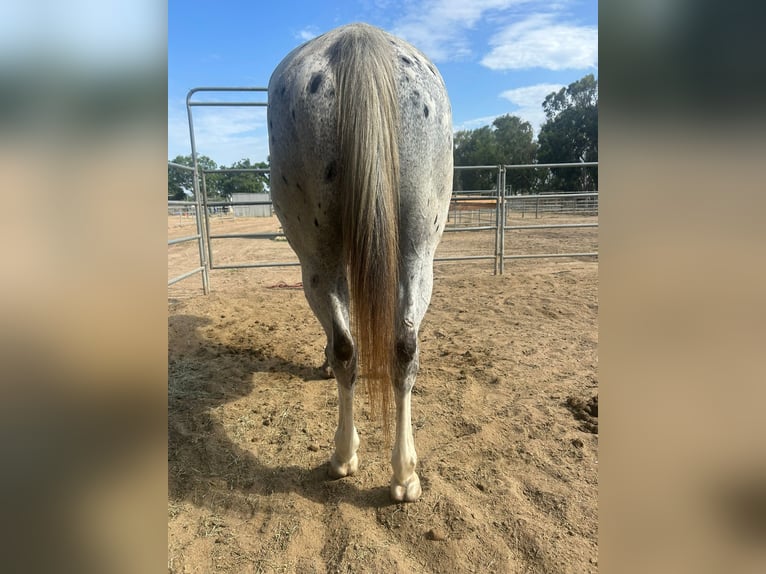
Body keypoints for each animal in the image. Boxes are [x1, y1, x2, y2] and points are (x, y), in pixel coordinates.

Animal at [267, 23, 453, 502]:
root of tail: (359, 41)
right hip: (416, 254)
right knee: (399, 348)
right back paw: (396, 474)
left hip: (320, 261)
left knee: (353, 348)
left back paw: (355, 460)